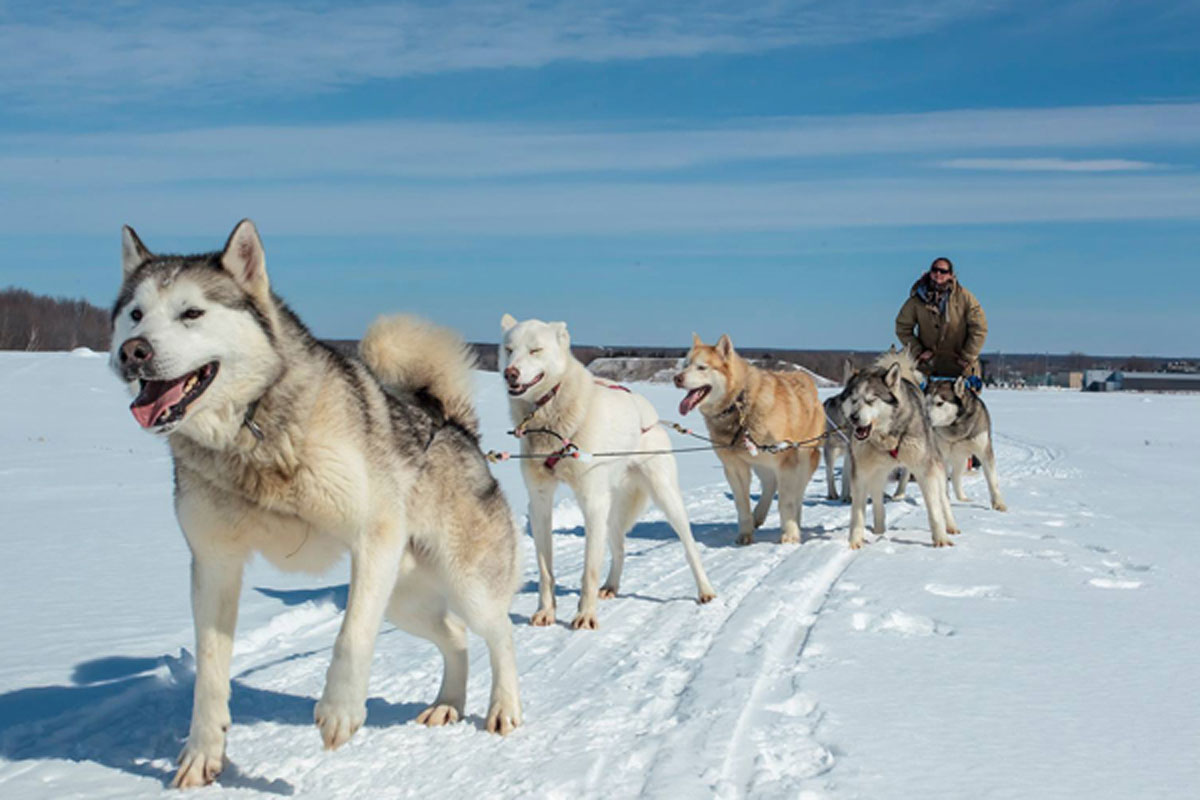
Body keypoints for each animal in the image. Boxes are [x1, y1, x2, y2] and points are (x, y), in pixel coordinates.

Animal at [111, 221, 520, 786]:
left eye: (191, 313)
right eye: (135, 314)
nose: (133, 352)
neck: (253, 433)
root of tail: (456, 427)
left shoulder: (373, 538)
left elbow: (351, 635)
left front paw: (339, 711)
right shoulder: (215, 566)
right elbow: (210, 676)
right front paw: (202, 754)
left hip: (463, 584)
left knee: (500, 635)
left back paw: (504, 708)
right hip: (405, 599)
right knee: (456, 637)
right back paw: (447, 703)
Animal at [496, 311, 710, 633]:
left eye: (535, 350)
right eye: (509, 349)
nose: (510, 372)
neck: (551, 419)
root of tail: (650, 414)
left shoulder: (592, 502)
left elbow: (589, 569)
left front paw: (585, 615)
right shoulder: (540, 501)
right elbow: (546, 569)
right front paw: (546, 611)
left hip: (663, 496)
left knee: (689, 546)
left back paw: (705, 590)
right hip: (612, 511)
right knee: (619, 547)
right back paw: (611, 585)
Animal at [676, 331, 825, 544]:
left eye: (701, 367)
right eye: (685, 365)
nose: (677, 378)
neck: (739, 403)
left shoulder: (787, 463)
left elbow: (787, 502)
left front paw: (790, 534)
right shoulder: (734, 467)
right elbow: (742, 504)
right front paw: (745, 533)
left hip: (803, 460)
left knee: (796, 494)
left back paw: (794, 522)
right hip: (760, 462)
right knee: (770, 484)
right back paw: (759, 515)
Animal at [840, 350, 960, 551]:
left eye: (871, 400)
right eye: (853, 400)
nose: (853, 417)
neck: (886, 439)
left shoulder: (925, 470)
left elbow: (934, 508)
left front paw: (940, 539)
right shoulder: (861, 473)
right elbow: (857, 513)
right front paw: (854, 542)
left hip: (935, 466)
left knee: (942, 497)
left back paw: (951, 525)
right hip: (877, 472)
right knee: (877, 496)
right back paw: (879, 530)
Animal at [926, 376, 1003, 513]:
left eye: (940, 403)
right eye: (926, 403)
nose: (925, 418)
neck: (956, 428)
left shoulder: (984, 451)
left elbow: (992, 480)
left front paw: (998, 504)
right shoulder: (940, 455)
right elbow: (943, 484)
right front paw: (945, 503)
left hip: (962, 459)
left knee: (955, 476)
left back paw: (962, 498)